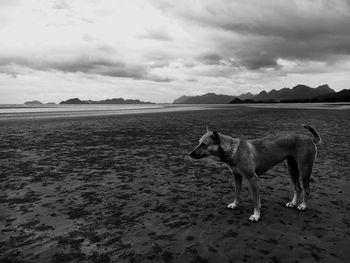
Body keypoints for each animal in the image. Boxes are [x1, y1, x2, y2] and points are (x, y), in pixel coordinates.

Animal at [190, 126, 322, 223]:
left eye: (204, 144)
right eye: (199, 142)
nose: (190, 154)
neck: (233, 150)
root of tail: (310, 139)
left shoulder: (252, 179)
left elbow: (256, 200)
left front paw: (256, 215)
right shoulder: (237, 176)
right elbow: (237, 193)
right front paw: (235, 204)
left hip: (304, 168)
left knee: (306, 189)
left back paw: (303, 205)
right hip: (291, 168)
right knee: (297, 188)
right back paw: (293, 203)